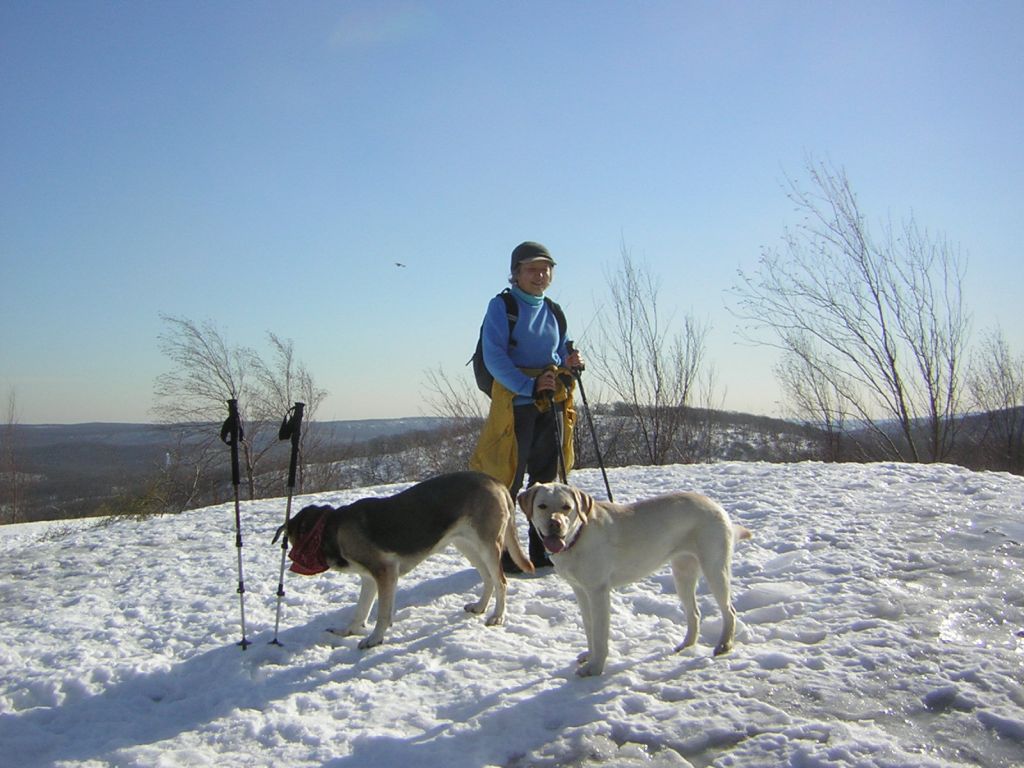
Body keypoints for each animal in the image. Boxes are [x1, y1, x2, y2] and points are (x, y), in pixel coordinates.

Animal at [520, 483, 753, 675]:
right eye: (542, 506)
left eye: (566, 507)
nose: (555, 524)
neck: (578, 536)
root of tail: (716, 505)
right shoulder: (580, 591)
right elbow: (589, 627)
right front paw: (590, 655)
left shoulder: (598, 591)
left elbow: (600, 633)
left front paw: (595, 668)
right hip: (682, 573)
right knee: (694, 613)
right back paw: (686, 645)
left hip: (714, 569)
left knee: (729, 610)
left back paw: (724, 645)